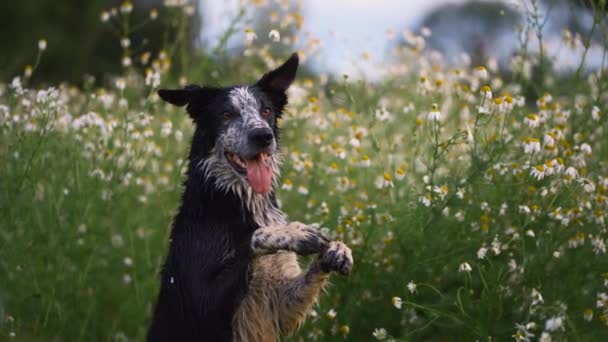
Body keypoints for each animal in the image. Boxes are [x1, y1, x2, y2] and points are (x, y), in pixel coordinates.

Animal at [148, 53, 354, 342]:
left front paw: (337, 249)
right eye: (226, 113)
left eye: (266, 110)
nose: (263, 135)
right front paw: (292, 232)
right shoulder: (200, 303)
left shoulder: (279, 306)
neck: (236, 203)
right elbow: (251, 239)